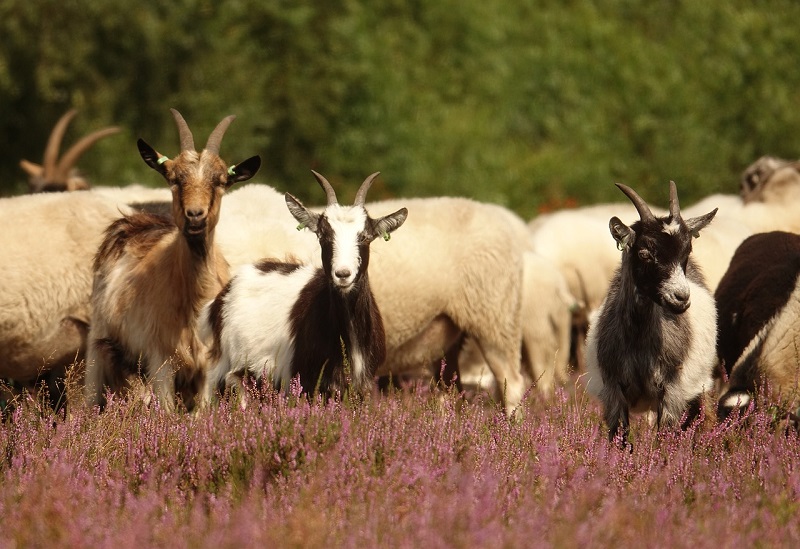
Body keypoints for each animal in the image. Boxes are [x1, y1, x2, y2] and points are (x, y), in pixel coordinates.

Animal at [198, 169, 410, 400]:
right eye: (323, 235)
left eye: (365, 237)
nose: (343, 274)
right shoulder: (308, 383)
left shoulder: (363, 385)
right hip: (228, 371)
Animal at [580, 181, 720, 446]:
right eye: (645, 253)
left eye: (686, 252)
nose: (681, 297)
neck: (639, 343)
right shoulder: (613, 391)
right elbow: (621, 439)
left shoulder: (672, 392)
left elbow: (665, 438)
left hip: (698, 387)